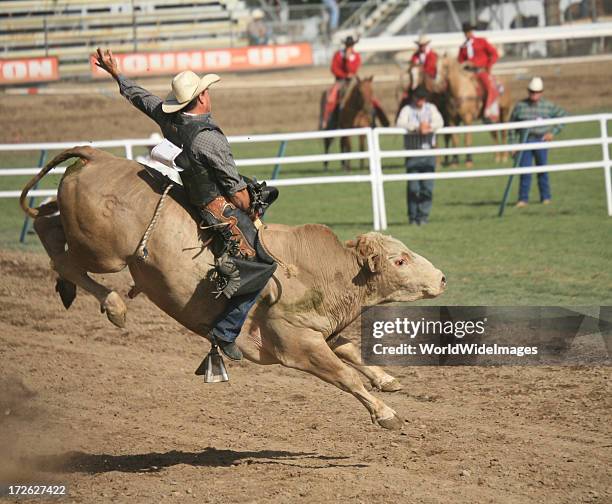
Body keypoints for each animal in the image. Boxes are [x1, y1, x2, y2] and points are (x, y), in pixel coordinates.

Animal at [20, 146, 444, 430]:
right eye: (400, 260)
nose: (441, 277)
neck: (326, 273)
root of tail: (96, 156)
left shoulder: (322, 331)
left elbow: (352, 351)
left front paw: (386, 380)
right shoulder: (297, 345)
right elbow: (345, 375)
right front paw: (385, 413)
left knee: (46, 221)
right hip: (103, 253)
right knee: (61, 254)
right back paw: (113, 306)